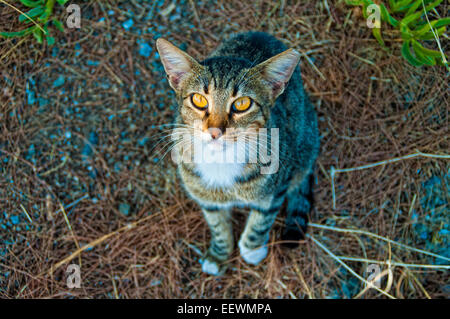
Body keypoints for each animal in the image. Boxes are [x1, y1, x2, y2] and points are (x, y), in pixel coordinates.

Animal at [156, 33, 318, 278]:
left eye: (242, 104)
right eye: (198, 100)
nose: (215, 131)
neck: (221, 159)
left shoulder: (279, 183)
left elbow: (263, 218)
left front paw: (252, 249)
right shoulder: (203, 194)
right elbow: (217, 224)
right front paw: (219, 255)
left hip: (305, 143)